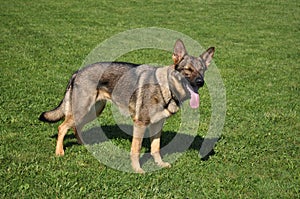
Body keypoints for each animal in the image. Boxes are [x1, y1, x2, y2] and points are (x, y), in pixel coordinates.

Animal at [38, 39, 214, 173]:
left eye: (202, 70)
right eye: (188, 70)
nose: (200, 82)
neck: (168, 89)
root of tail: (78, 72)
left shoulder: (157, 125)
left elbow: (155, 148)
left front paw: (159, 164)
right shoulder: (141, 124)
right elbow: (136, 150)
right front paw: (138, 170)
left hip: (94, 111)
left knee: (75, 127)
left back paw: (84, 145)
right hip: (83, 110)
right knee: (62, 127)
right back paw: (59, 152)